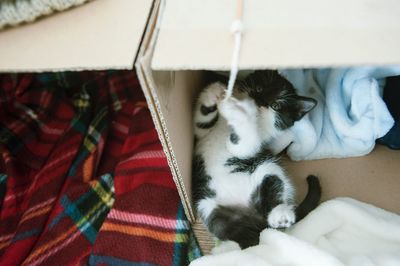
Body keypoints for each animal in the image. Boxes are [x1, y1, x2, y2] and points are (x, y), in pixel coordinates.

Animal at [192, 70, 320, 249]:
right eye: (259, 88)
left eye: (276, 105)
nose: (259, 102)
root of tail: (255, 217)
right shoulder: (203, 135)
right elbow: (201, 122)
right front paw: (213, 92)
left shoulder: (254, 144)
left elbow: (243, 145)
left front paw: (240, 113)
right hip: (207, 206)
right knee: (228, 229)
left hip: (266, 168)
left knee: (274, 184)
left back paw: (280, 215)